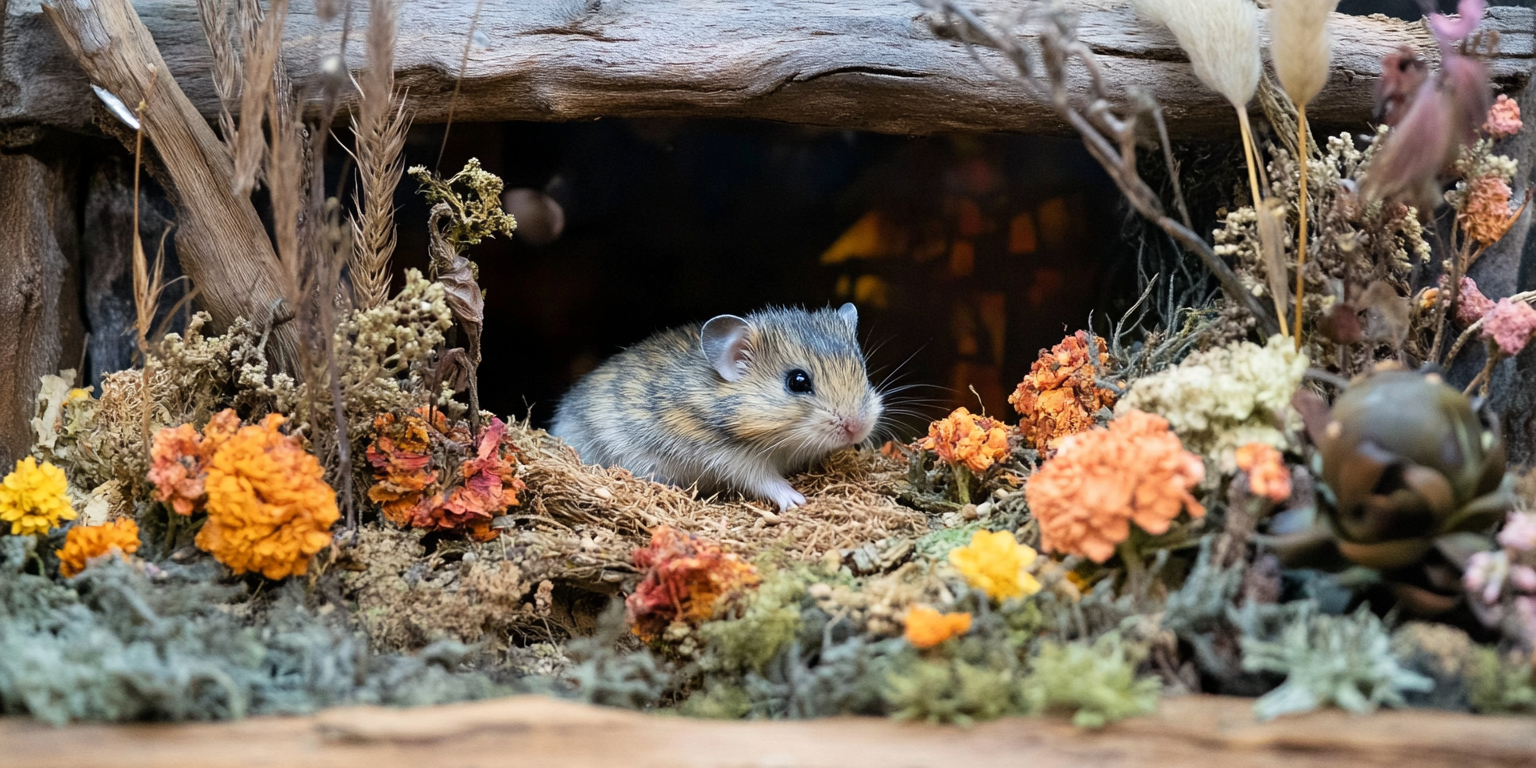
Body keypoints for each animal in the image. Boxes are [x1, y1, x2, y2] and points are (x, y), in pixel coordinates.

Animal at [552, 304, 890, 509]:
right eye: (797, 381)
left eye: (862, 368)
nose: (859, 428)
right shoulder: (728, 456)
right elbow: (765, 480)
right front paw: (797, 500)